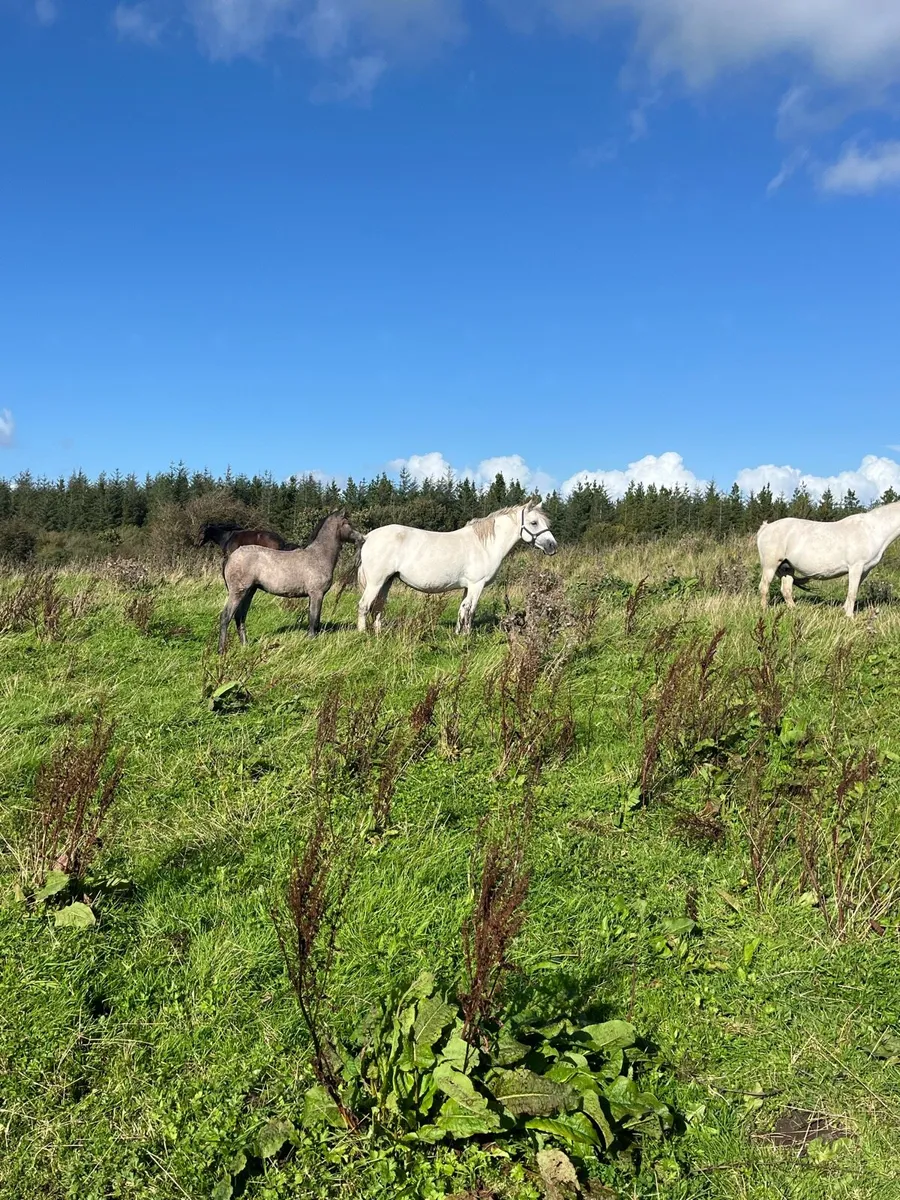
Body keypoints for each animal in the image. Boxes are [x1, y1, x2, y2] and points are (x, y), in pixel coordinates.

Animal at [219, 511, 363, 651]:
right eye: (348, 523)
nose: (361, 538)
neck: (318, 556)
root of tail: (231, 556)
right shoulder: (316, 594)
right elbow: (314, 619)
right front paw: (311, 640)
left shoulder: (313, 595)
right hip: (238, 592)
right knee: (226, 616)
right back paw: (221, 650)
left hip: (249, 592)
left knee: (240, 617)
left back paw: (245, 645)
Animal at [356, 500, 557, 635]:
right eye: (534, 523)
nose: (552, 546)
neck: (484, 544)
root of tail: (368, 537)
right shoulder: (477, 585)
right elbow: (470, 610)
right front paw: (467, 636)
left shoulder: (468, 587)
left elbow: (462, 609)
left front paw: (458, 635)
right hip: (376, 582)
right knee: (364, 606)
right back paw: (363, 634)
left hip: (387, 581)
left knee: (378, 607)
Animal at [757, 500, 900, 617]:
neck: (872, 531)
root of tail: (765, 527)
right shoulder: (856, 567)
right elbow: (852, 593)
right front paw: (850, 617)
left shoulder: (864, 570)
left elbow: (853, 591)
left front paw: (844, 610)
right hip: (770, 566)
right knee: (764, 587)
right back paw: (764, 611)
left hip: (786, 567)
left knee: (786, 590)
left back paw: (794, 610)